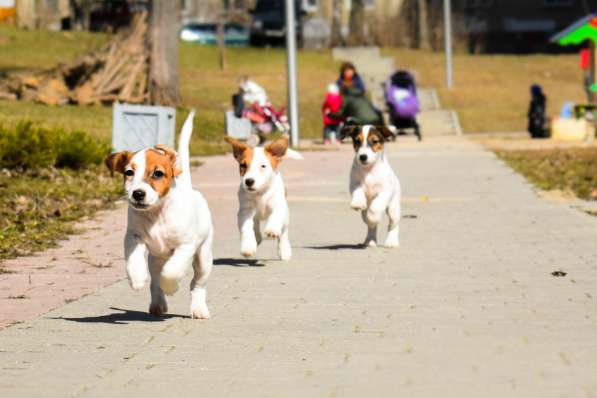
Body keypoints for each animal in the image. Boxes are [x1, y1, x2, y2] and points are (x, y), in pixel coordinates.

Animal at [105, 112, 214, 320]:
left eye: (157, 173)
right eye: (129, 172)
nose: (138, 194)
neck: (157, 213)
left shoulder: (185, 245)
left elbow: (172, 271)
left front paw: (171, 286)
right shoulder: (133, 236)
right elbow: (134, 259)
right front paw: (137, 277)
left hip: (203, 258)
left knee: (196, 284)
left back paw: (198, 308)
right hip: (155, 259)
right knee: (155, 281)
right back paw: (158, 304)